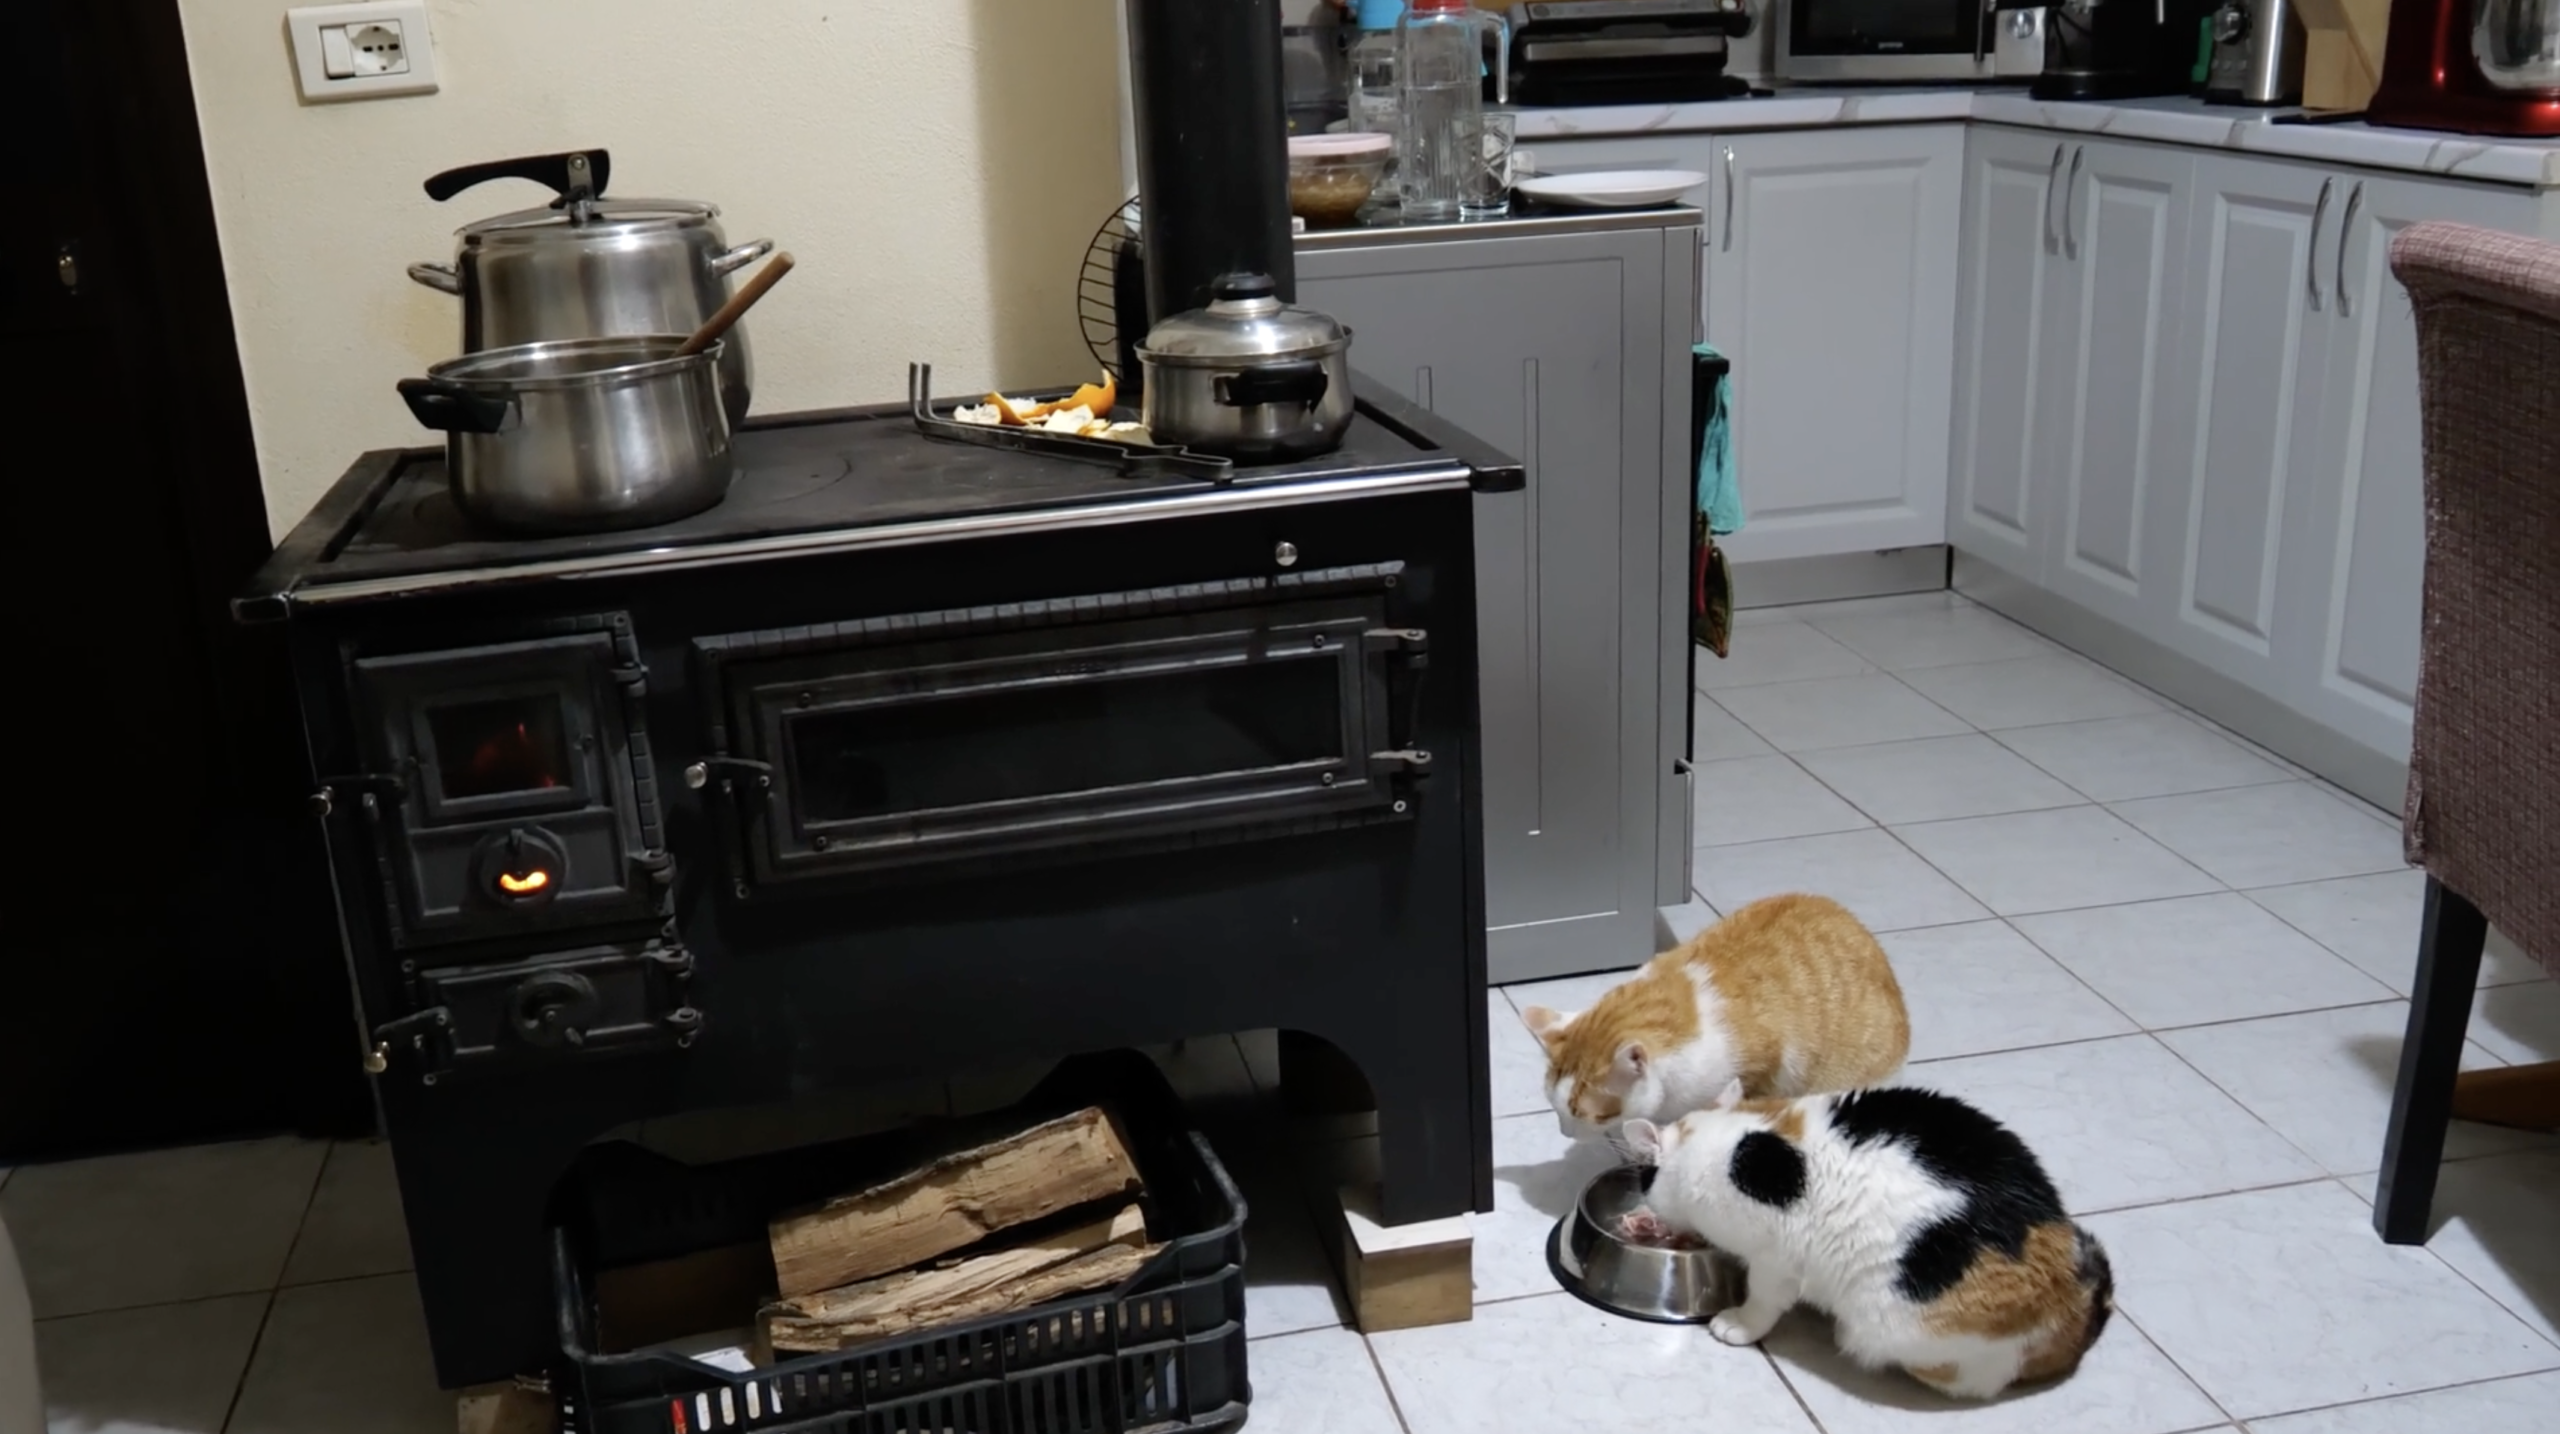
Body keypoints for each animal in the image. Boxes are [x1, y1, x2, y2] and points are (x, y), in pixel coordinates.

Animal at [1622, 1081, 2114, 1401]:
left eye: (1645, 1177)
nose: (1646, 1204)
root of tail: (2073, 1309)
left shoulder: (1774, 1259)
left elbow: (1763, 1301)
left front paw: (1739, 1324)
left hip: (1894, 1323)